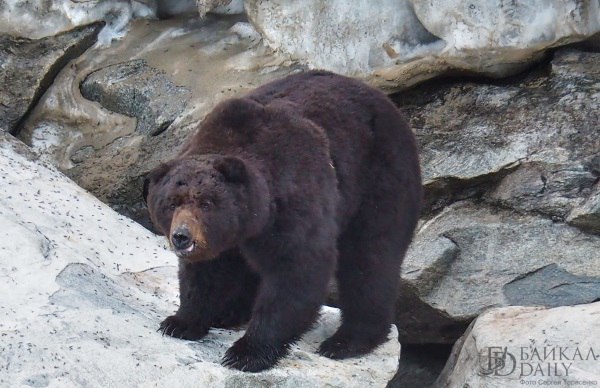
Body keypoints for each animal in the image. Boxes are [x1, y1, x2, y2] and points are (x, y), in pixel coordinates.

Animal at [144, 70, 422, 372]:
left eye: (206, 202)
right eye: (172, 203)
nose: (182, 236)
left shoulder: (294, 201)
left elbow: (296, 271)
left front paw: (247, 352)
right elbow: (203, 273)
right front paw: (180, 322)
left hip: (380, 181)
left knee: (370, 259)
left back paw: (347, 340)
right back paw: (230, 312)